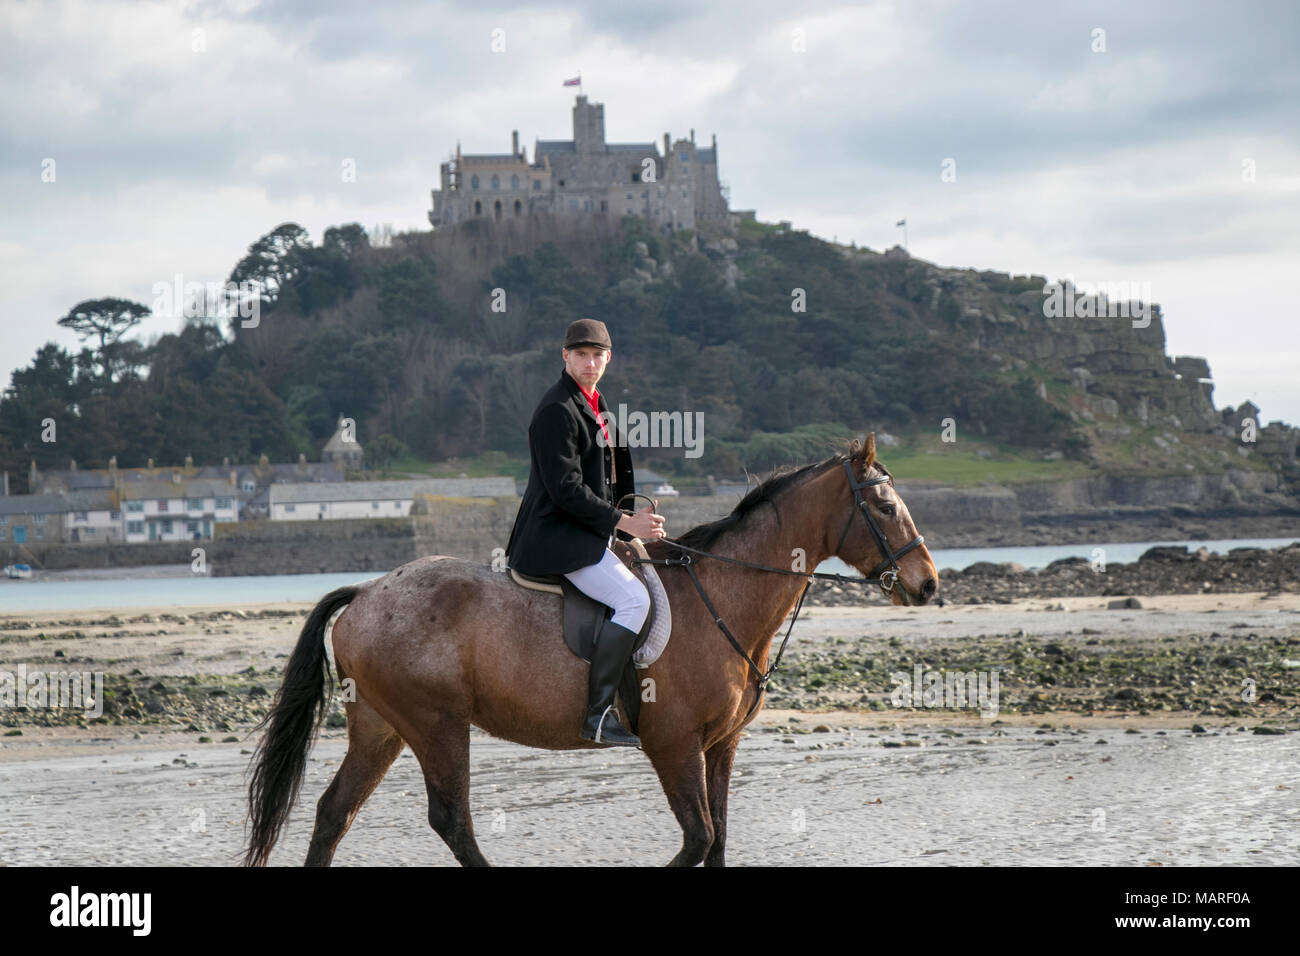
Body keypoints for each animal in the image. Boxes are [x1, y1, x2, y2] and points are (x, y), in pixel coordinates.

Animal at [244, 434, 938, 866]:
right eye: (882, 505)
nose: (928, 583)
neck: (722, 595)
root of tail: (365, 593)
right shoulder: (673, 744)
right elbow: (697, 839)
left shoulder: (720, 745)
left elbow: (716, 843)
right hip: (436, 725)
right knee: (452, 821)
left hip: (381, 727)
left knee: (334, 813)